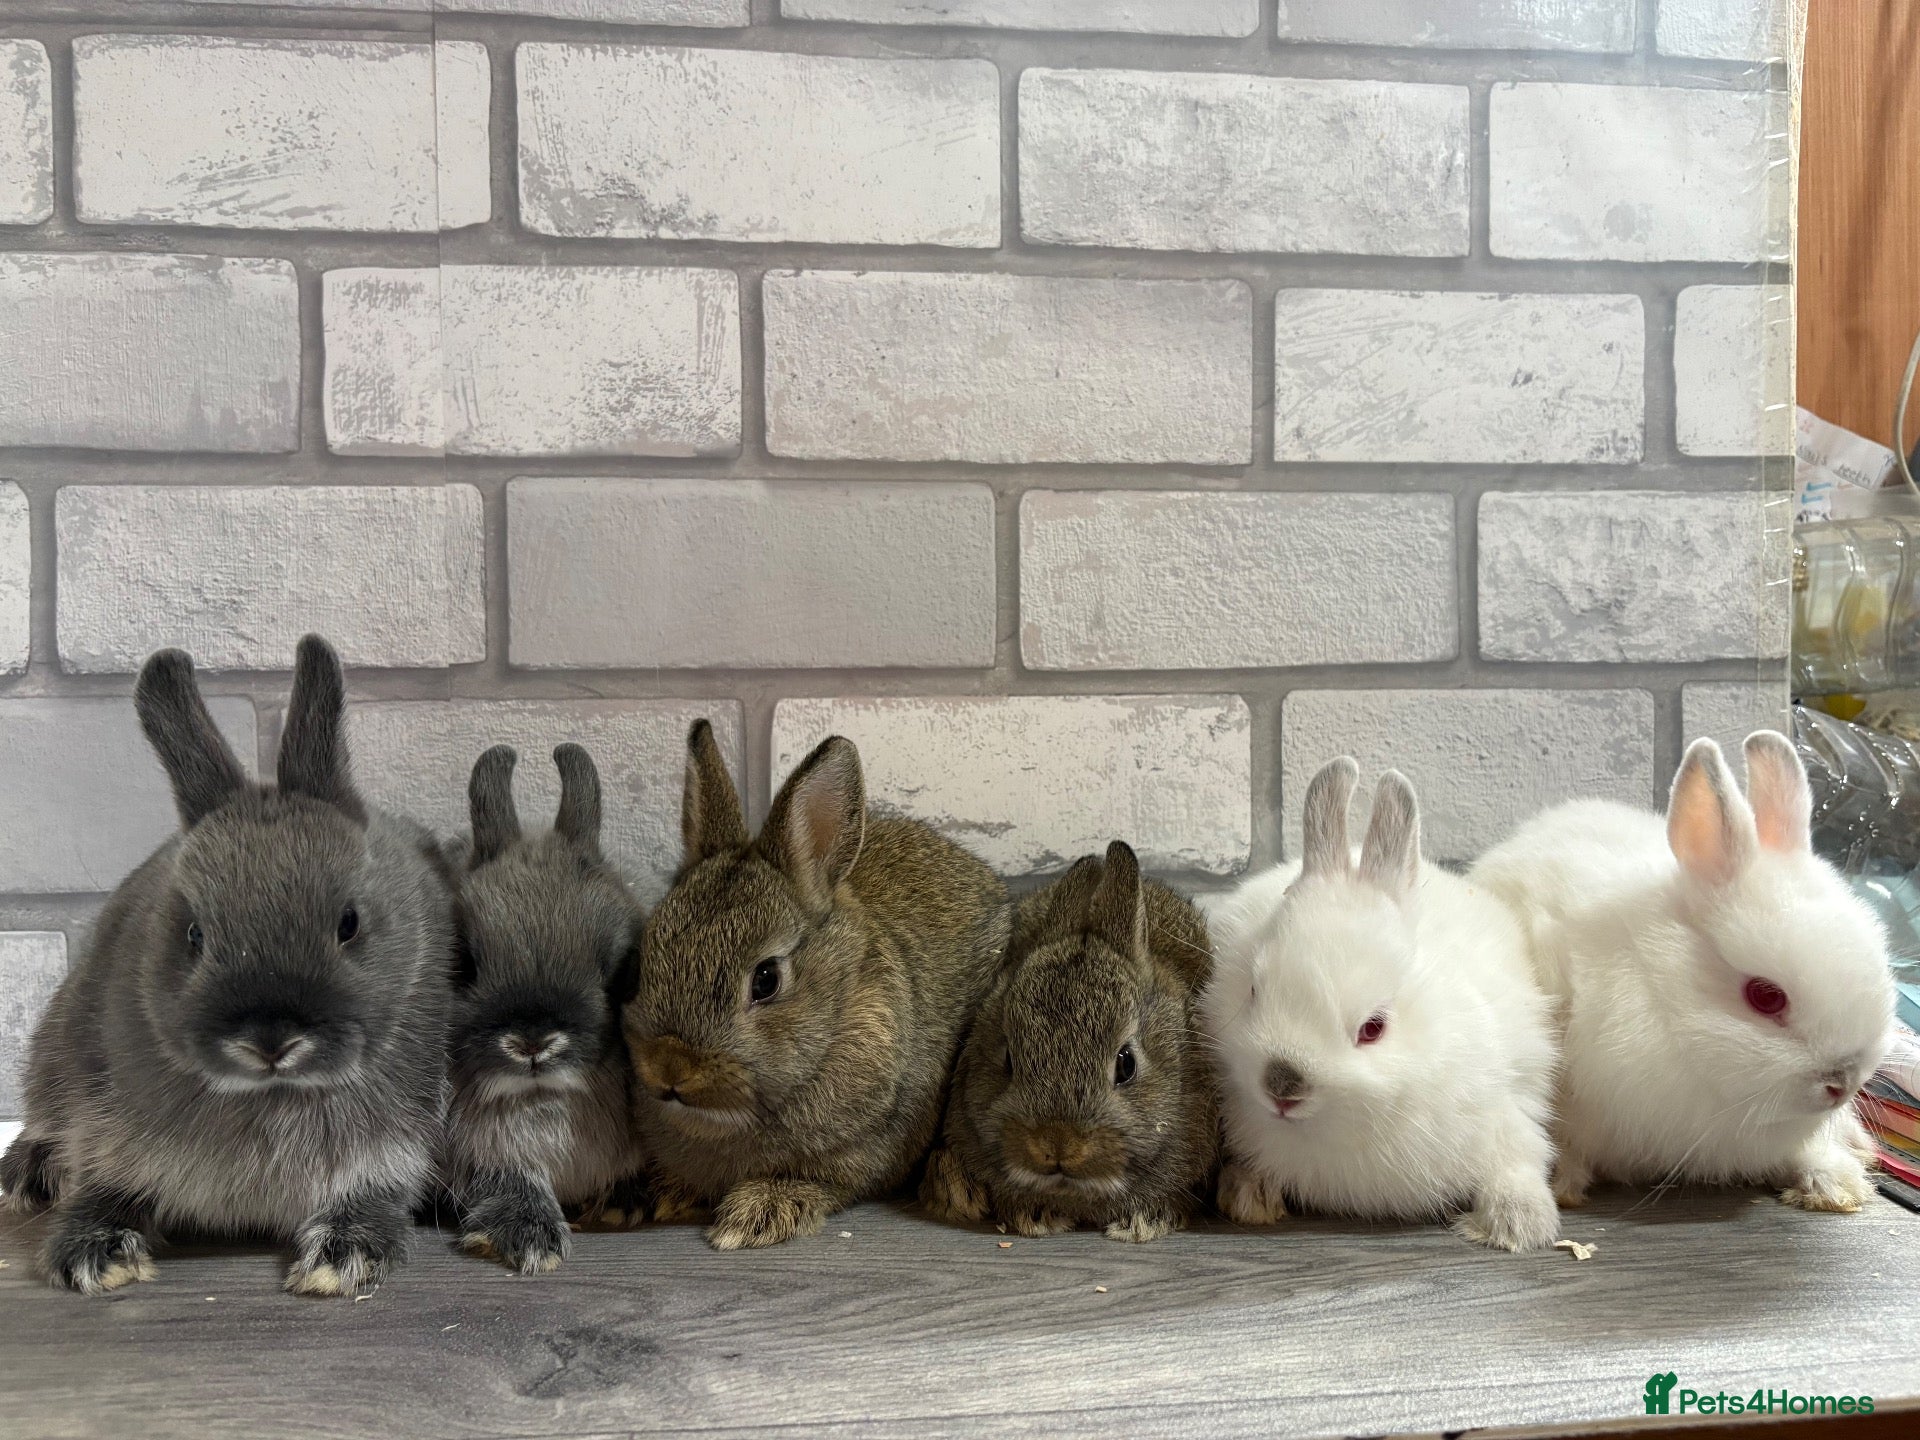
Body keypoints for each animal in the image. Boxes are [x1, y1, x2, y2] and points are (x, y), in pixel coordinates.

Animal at [0, 636, 454, 1296]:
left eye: (349, 923)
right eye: (194, 933)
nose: (270, 1040)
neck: (273, 1092)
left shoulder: (394, 1147)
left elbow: (372, 1193)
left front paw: (343, 1257)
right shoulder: (108, 1129)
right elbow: (107, 1185)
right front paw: (93, 1252)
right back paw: (27, 1173)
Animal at [443, 743, 649, 1275]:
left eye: (617, 967)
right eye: (463, 963)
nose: (532, 1042)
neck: (543, 1100)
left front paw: (623, 1205)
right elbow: (512, 1180)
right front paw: (530, 1239)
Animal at [623, 720, 1008, 1250]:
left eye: (766, 980)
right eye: (643, 961)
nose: (669, 1068)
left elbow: (821, 1180)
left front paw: (758, 1214)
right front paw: (663, 1195)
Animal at [1201, 758, 1560, 1252]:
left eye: (1373, 1028)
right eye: (1254, 990)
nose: (1282, 1086)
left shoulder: (1512, 1105)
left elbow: (1520, 1158)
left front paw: (1517, 1225)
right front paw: (1247, 1193)